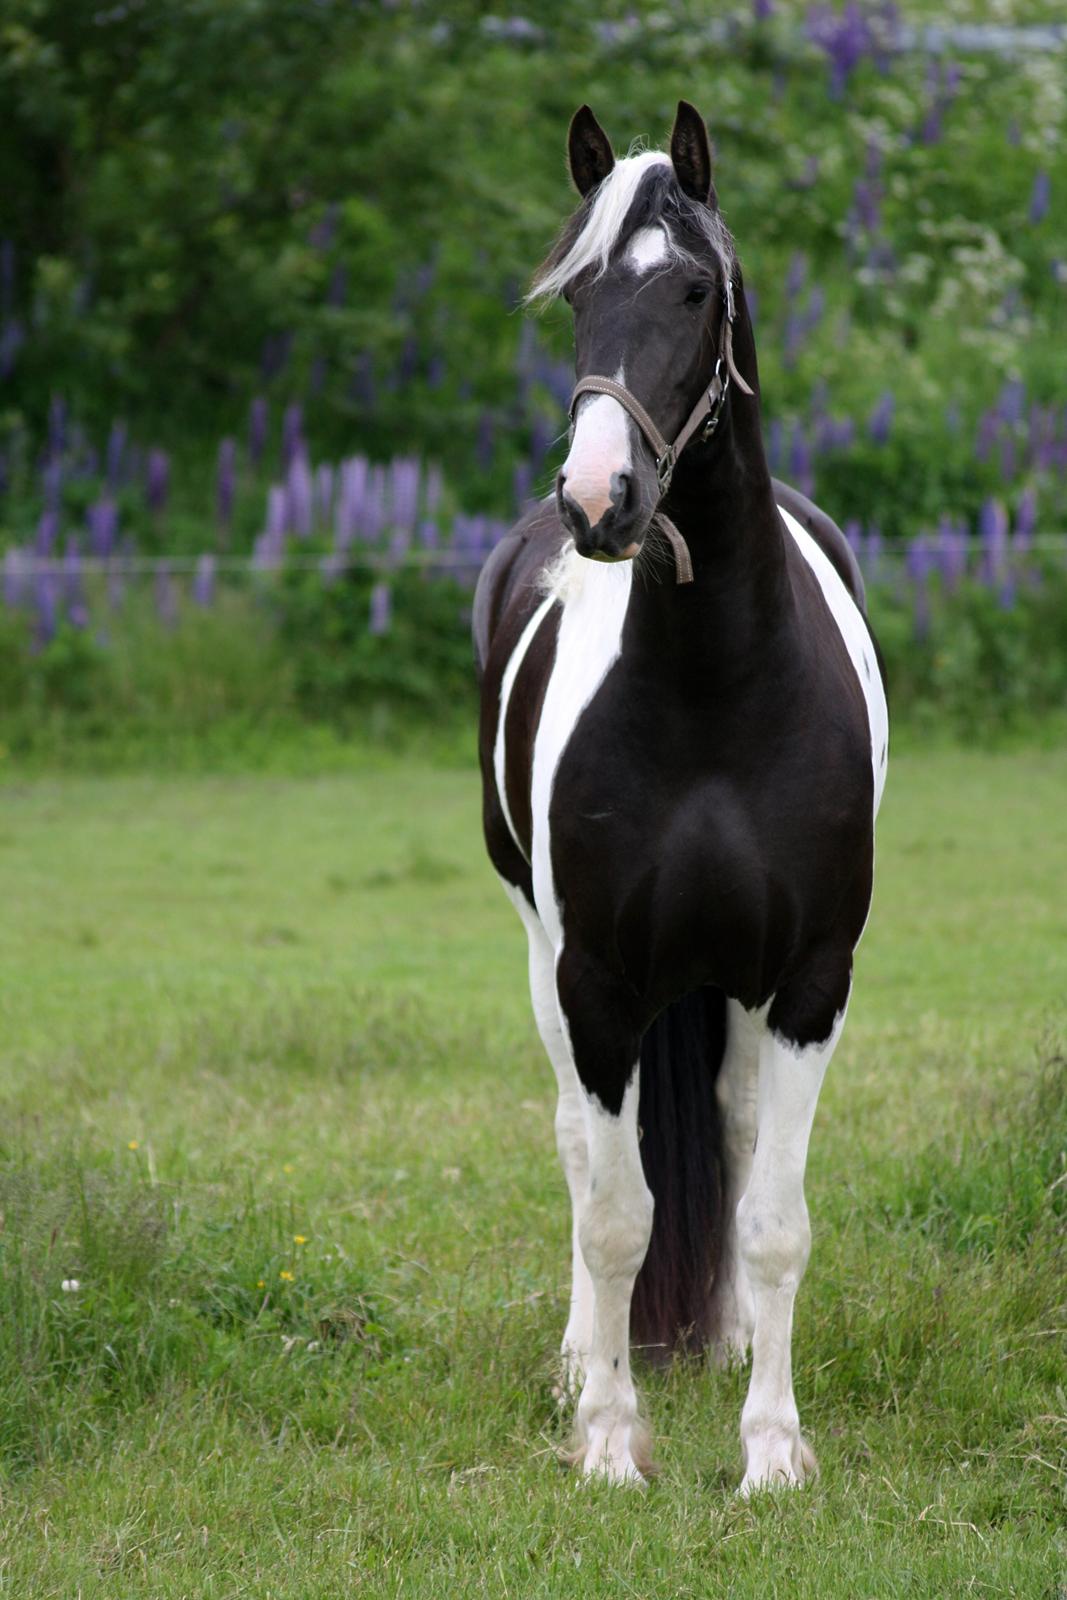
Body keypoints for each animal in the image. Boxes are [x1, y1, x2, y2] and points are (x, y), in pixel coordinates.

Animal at [470, 106, 889, 1491]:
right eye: (576, 293)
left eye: (694, 290)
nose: (599, 499)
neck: (715, 691)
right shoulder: (596, 981)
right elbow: (613, 1214)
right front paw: (607, 1438)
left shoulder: (807, 980)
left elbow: (770, 1219)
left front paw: (771, 1449)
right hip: (543, 959)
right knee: (574, 1145)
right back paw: (575, 1363)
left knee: (736, 1137)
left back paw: (723, 1342)